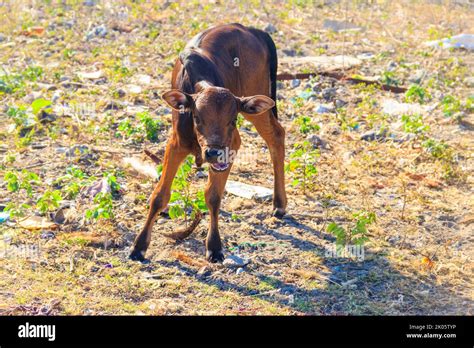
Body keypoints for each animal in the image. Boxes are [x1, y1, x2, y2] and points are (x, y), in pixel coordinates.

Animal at [128, 23, 286, 260]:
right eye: (197, 117)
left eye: (232, 120)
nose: (213, 153)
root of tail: (251, 30)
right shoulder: (176, 143)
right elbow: (159, 195)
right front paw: (139, 246)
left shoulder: (232, 146)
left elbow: (213, 196)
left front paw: (214, 245)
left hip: (256, 100)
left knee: (276, 134)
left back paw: (280, 204)